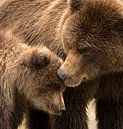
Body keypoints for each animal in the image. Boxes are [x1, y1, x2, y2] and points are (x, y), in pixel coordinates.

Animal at [0, 0, 122, 129]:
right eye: (70, 43)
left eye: (86, 50)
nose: (62, 74)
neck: (103, 70)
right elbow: (71, 114)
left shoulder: (115, 81)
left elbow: (114, 113)